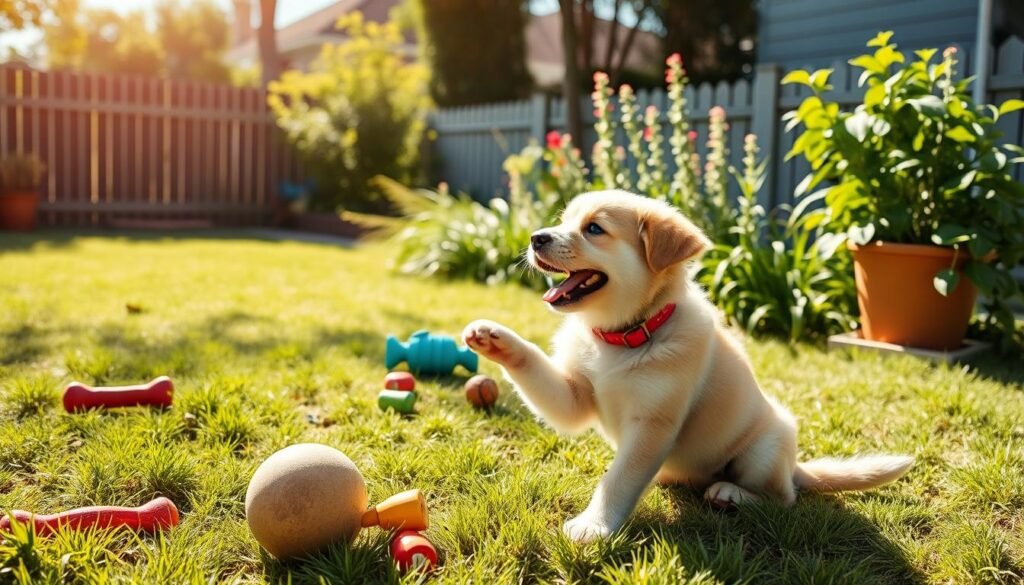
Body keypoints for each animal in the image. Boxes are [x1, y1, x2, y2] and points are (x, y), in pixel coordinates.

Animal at [462, 191, 913, 545]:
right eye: (563, 221)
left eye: (594, 229)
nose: (536, 237)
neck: (621, 338)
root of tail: (795, 468)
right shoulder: (576, 396)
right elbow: (538, 370)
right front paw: (494, 337)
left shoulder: (652, 422)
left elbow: (617, 479)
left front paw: (594, 525)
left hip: (765, 448)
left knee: (783, 499)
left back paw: (731, 495)